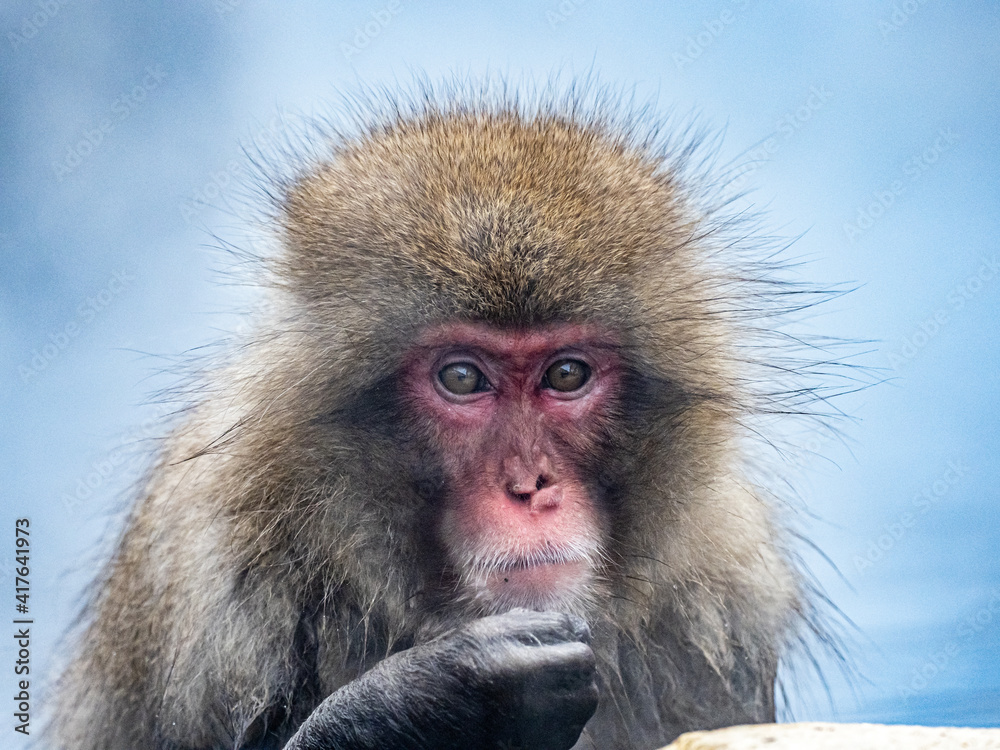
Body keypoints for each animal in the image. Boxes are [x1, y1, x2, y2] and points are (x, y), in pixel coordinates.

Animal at [49, 85, 819, 750]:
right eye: (462, 378)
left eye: (566, 375)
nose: (530, 486)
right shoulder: (215, 583)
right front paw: (440, 698)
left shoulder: (727, 592)